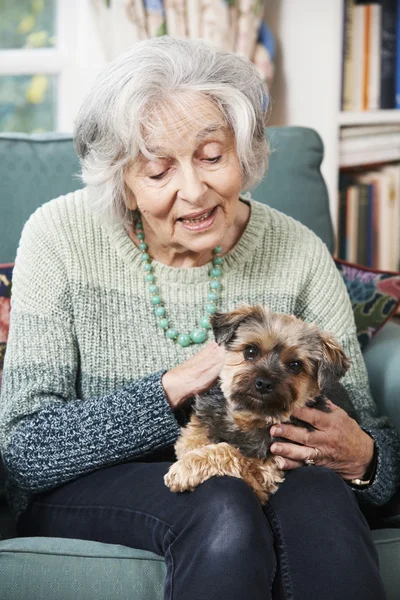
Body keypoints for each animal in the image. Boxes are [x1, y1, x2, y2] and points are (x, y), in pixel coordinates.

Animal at [164, 302, 352, 504]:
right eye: (251, 351)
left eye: (295, 365)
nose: (263, 383)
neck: (249, 415)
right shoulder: (195, 430)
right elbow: (192, 442)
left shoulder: (264, 470)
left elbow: (228, 451)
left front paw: (185, 468)